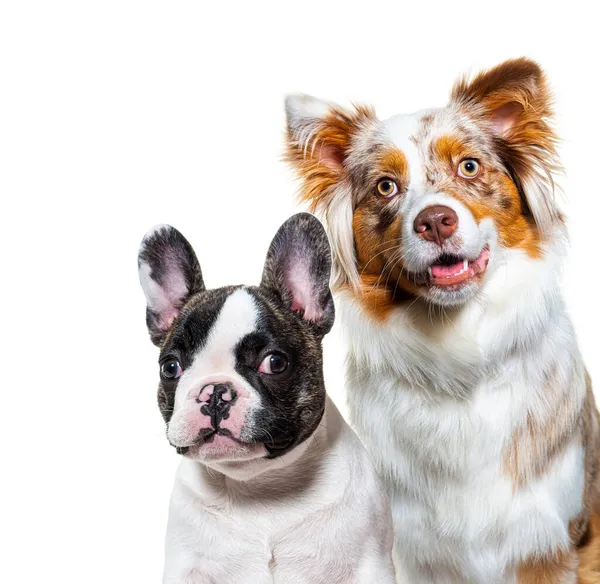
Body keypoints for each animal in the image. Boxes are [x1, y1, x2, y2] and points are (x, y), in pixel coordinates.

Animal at [138, 213, 396, 584]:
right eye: (170, 367)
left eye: (274, 363)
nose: (215, 393)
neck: (259, 487)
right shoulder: (185, 567)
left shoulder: (369, 564)